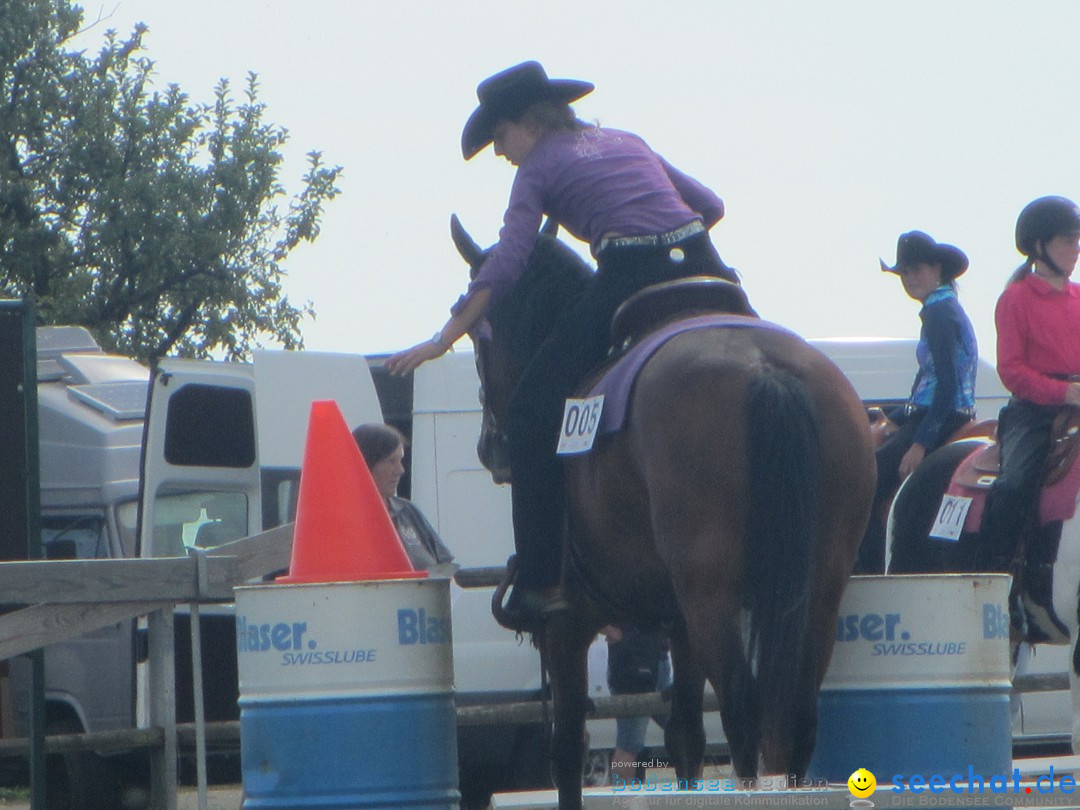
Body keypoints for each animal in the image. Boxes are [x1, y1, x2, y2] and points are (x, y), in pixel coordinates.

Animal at [449, 217, 876, 810]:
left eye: (477, 335)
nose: (490, 446)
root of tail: (765, 372)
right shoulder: (680, 626)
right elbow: (686, 738)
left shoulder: (567, 626)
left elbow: (567, 748)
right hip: (812, 592)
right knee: (795, 717)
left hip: (713, 599)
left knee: (743, 714)